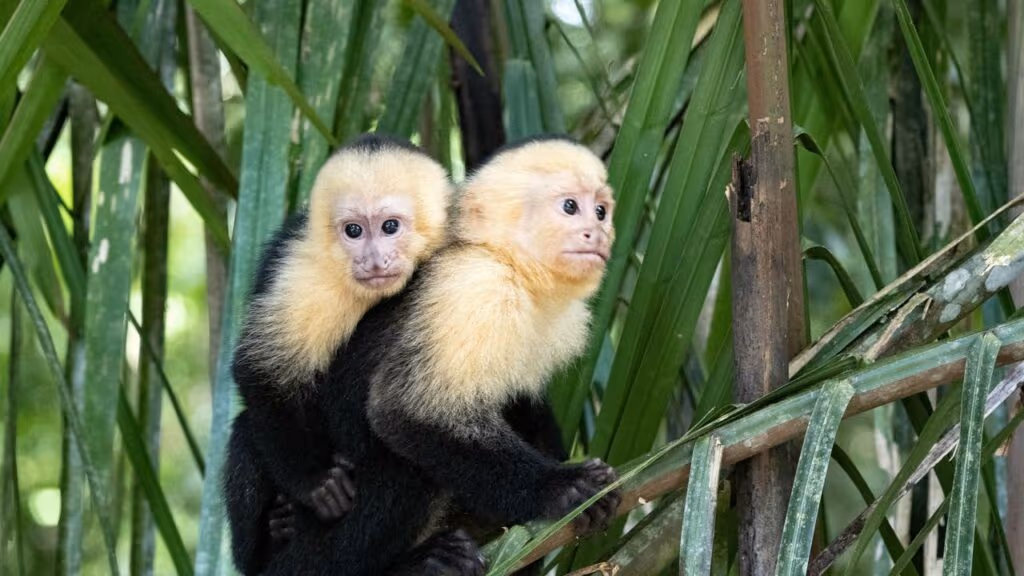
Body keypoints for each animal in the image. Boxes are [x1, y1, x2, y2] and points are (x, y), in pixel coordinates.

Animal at [223, 133, 455, 575]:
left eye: (390, 226)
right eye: (353, 231)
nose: (374, 260)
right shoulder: (301, 266)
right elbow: (261, 370)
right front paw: (316, 483)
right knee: (247, 428)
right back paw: (269, 537)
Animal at [260, 137, 621, 576]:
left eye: (601, 211)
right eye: (570, 207)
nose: (596, 232)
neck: (510, 264)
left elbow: (527, 404)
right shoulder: (472, 288)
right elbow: (406, 413)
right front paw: (560, 489)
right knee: (406, 474)